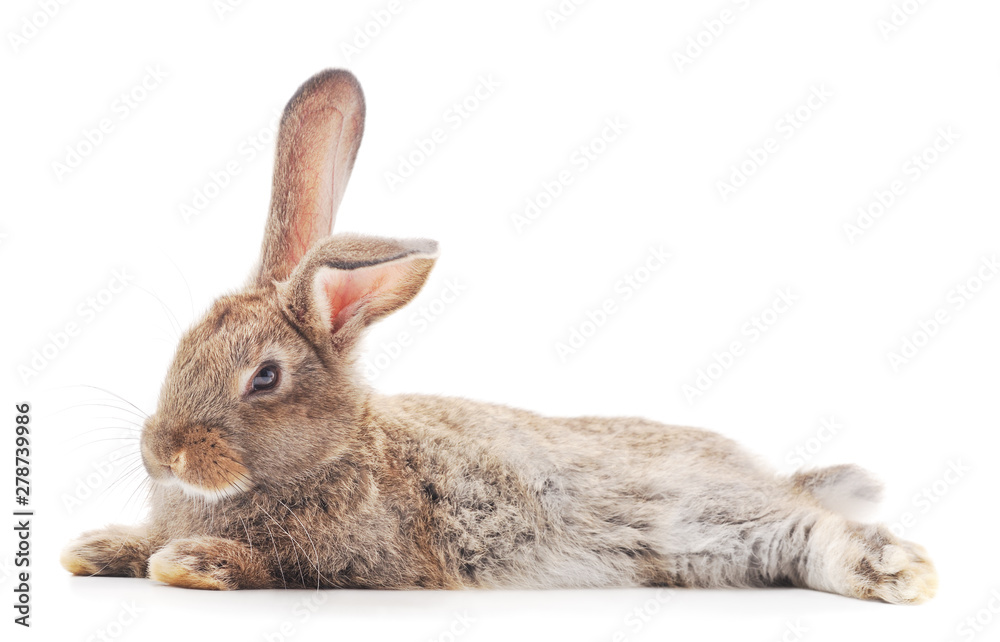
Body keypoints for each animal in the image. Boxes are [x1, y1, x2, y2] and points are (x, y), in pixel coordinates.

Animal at [61, 69, 937, 603]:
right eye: (181, 348)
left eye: (265, 378)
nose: (161, 452)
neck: (340, 450)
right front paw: (97, 549)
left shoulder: (366, 559)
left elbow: (277, 566)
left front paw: (188, 562)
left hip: (714, 520)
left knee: (816, 531)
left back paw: (901, 572)